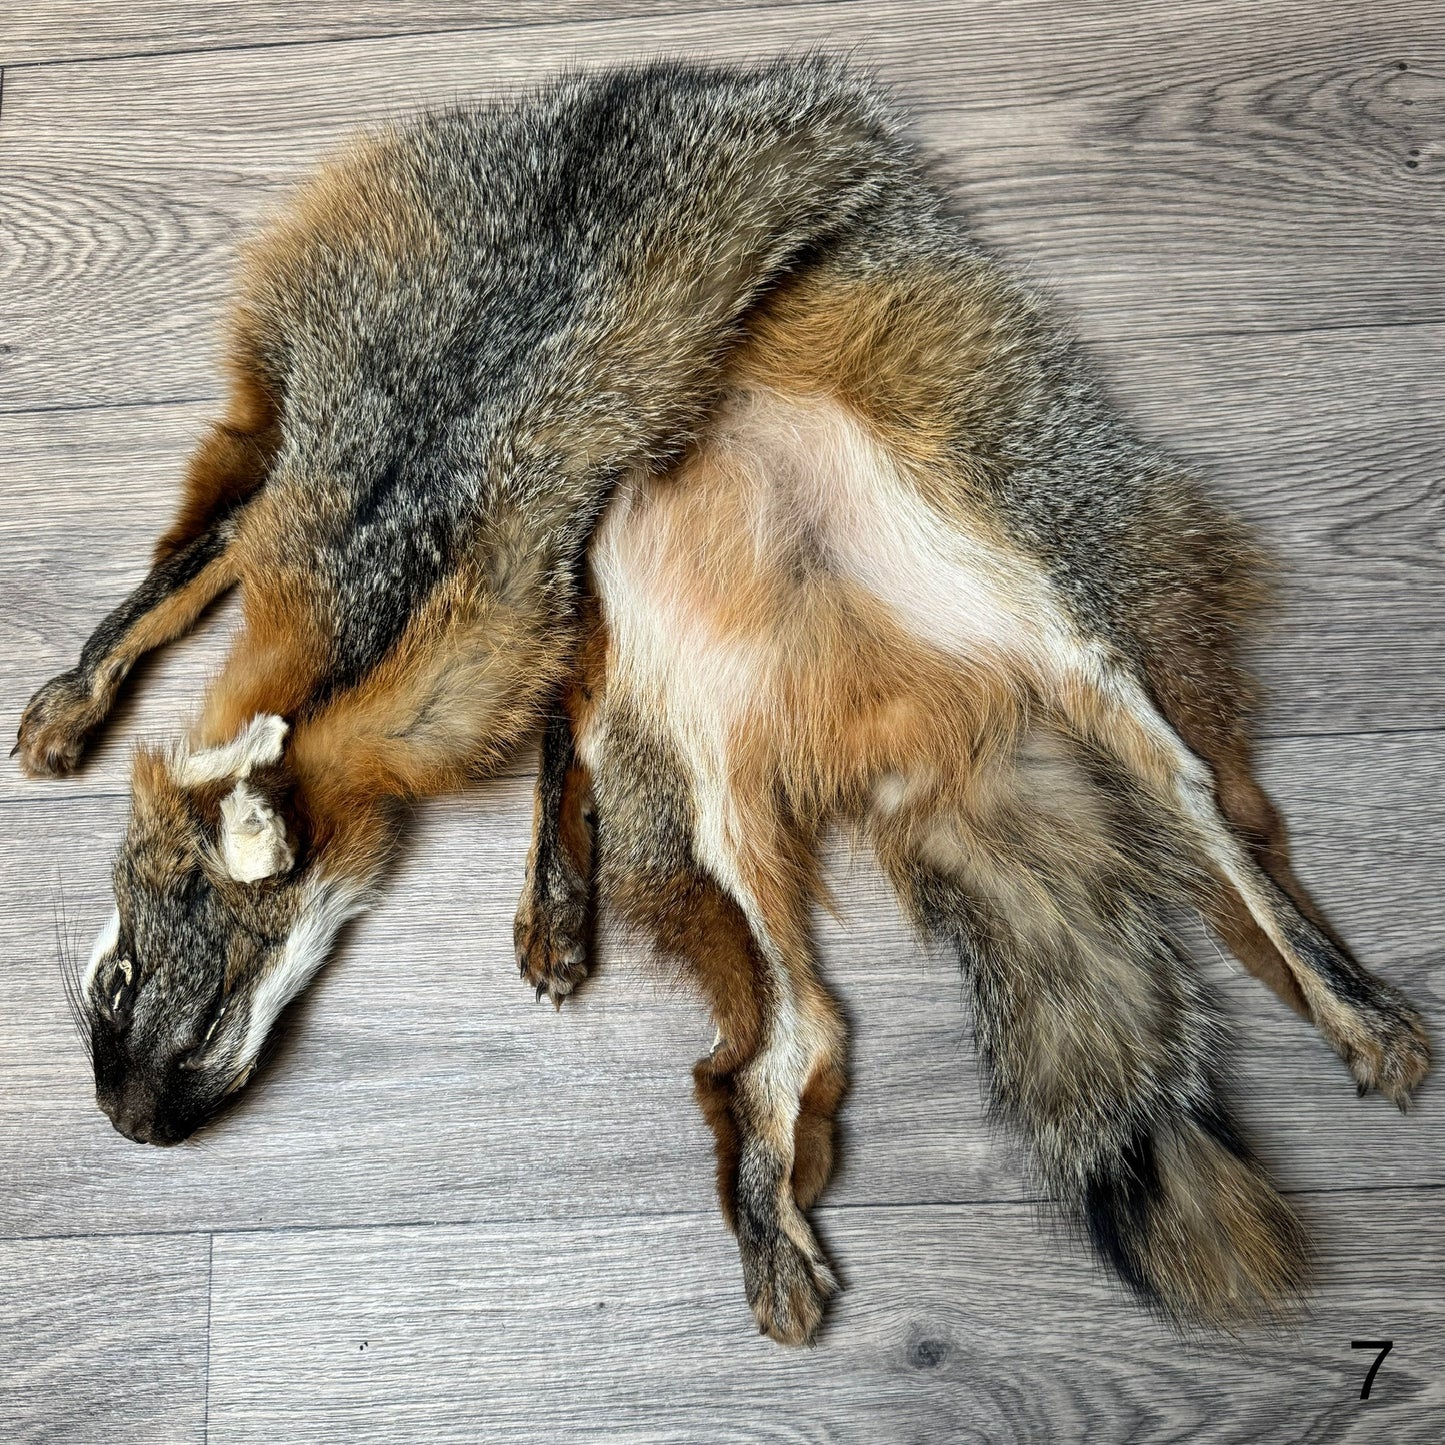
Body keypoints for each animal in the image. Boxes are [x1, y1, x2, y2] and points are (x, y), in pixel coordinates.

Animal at [16, 58, 1429, 1346]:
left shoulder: (518, 579)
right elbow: (172, 589)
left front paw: (551, 902)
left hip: (1030, 603)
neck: (380, 563)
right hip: (713, 798)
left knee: (1209, 821)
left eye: (169, 998)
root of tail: (899, 711)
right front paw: (76, 699)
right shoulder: (500, 572)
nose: (132, 1130)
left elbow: (203, 592)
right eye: (115, 985)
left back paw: (1342, 998)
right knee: (795, 1034)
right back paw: (775, 1230)